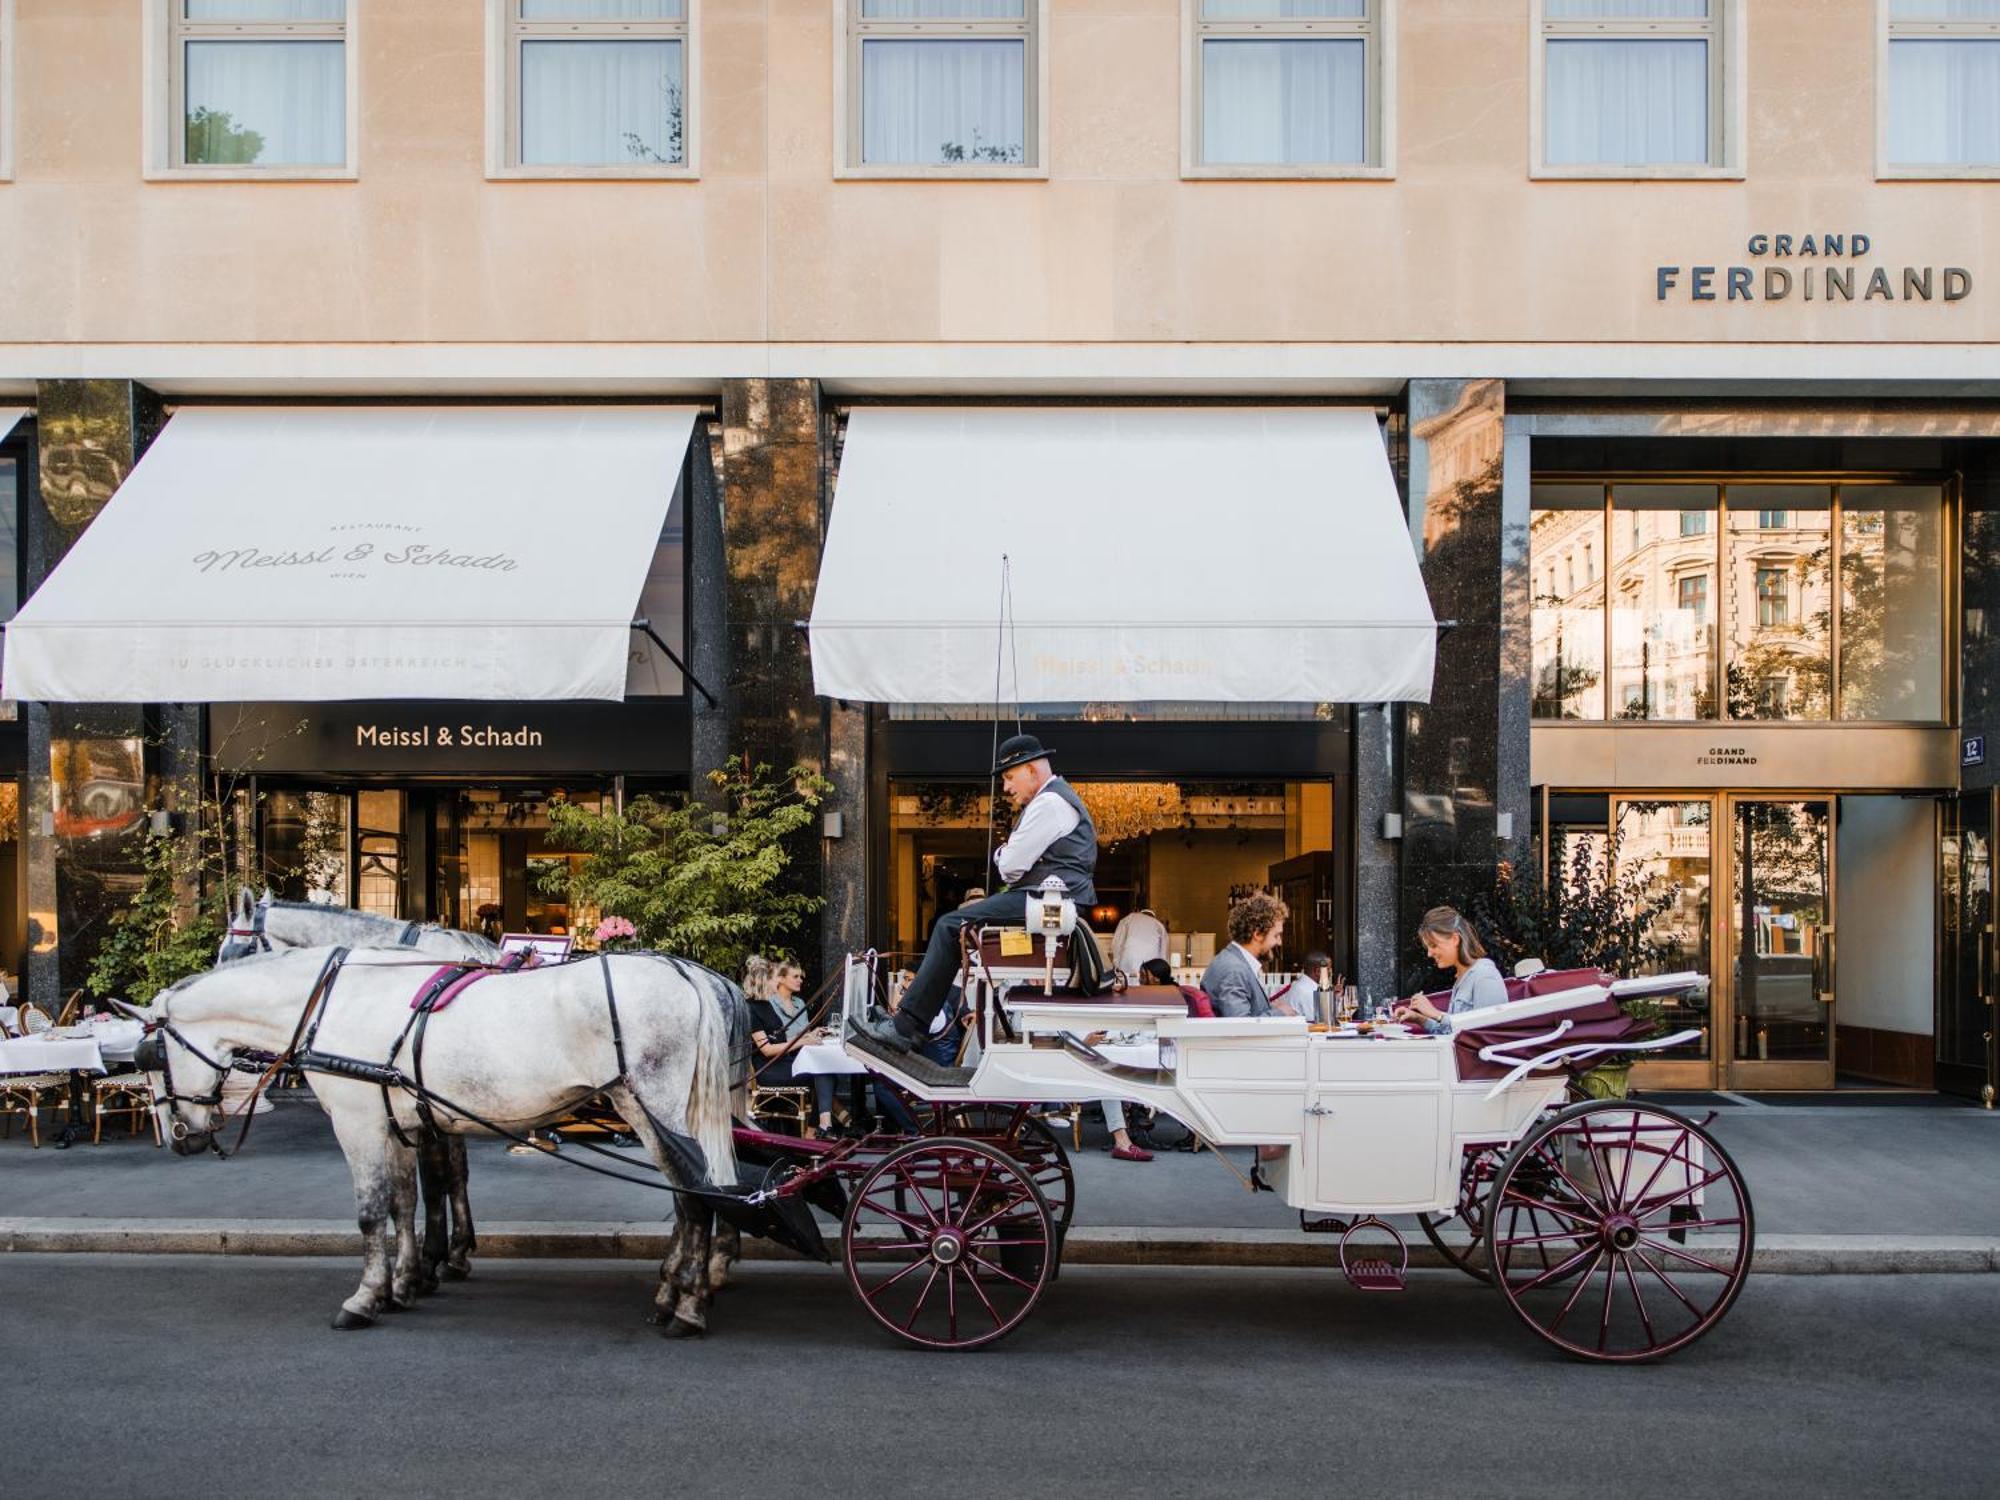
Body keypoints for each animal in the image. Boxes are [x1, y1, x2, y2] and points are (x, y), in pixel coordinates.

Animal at [131, 944, 744, 1336]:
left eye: (150, 1056)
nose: (182, 1138)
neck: (333, 1001)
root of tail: (687, 975)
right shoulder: (396, 1123)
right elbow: (404, 1204)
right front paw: (402, 1283)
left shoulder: (357, 1121)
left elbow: (371, 1213)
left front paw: (364, 1298)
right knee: (696, 1198)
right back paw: (674, 1292)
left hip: (650, 1108)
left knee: (696, 1198)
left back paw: (687, 1306)